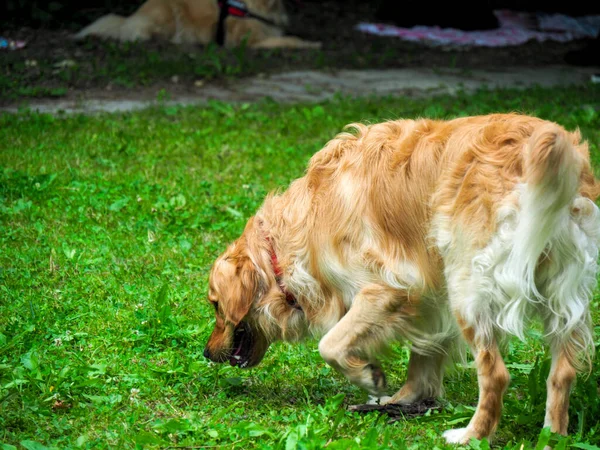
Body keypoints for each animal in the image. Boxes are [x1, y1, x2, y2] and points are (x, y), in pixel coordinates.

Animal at [203, 113, 600, 442]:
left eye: (215, 305)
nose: (206, 353)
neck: (285, 243)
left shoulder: (386, 288)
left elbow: (330, 343)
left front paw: (368, 376)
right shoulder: (428, 295)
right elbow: (421, 357)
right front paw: (401, 399)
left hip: (467, 285)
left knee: (496, 375)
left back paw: (470, 436)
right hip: (559, 294)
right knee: (562, 373)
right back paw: (552, 436)